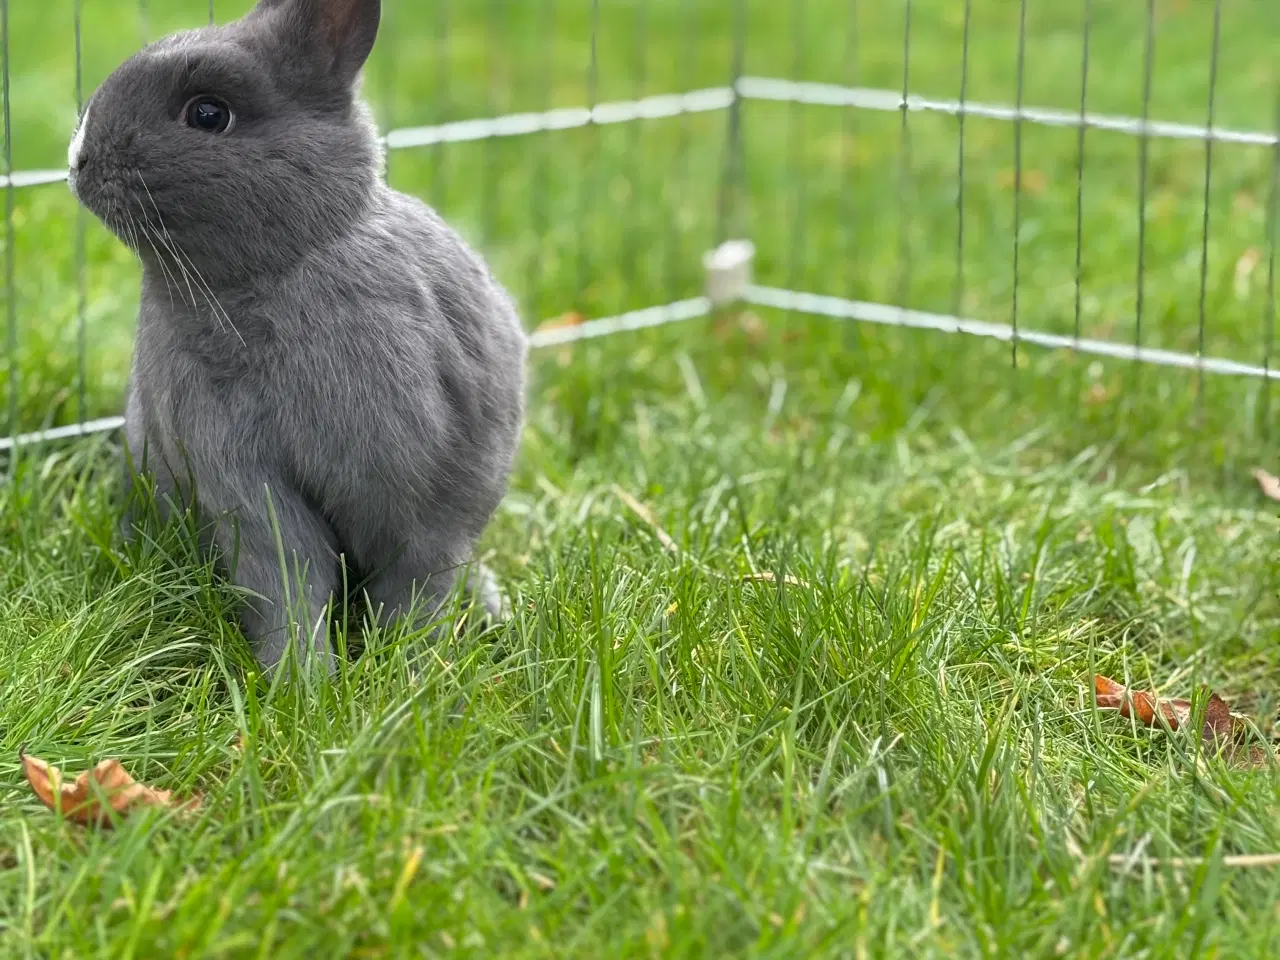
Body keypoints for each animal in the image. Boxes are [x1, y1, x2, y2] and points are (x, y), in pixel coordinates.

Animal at [67, 0, 527, 670]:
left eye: (208, 114)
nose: (77, 160)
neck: (272, 275)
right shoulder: (239, 475)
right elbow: (286, 577)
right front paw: (301, 680)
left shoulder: (425, 495)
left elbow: (415, 588)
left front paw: (406, 675)